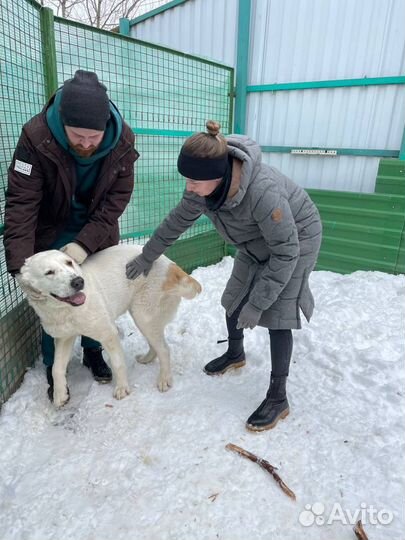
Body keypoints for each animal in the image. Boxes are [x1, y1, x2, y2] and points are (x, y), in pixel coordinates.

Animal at [19, 244, 202, 404]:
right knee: (157, 345)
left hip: (143, 316)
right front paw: (60, 395)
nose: (78, 281)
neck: (65, 310)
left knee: (164, 349)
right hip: (144, 318)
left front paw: (122, 388)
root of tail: (171, 264)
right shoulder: (64, 338)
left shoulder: (108, 333)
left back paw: (164, 379)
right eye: (49, 272)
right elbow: (56, 368)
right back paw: (146, 359)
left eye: (69, 263)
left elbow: (118, 363)